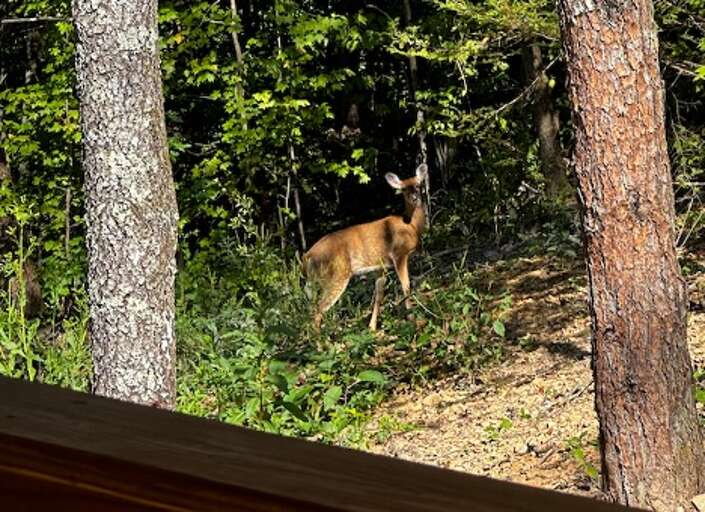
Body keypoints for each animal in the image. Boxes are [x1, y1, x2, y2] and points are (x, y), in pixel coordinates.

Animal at [302, 163, 428, 331]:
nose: (415, 198)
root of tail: (307, 256)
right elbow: (406, 286)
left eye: (418, 185)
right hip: (335, 275)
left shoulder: (380, 267)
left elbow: (378, 296)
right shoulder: (399, 254)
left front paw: (372, 327)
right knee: (319, 309)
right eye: (403, 189)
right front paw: (413, 319)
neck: (411, 225)